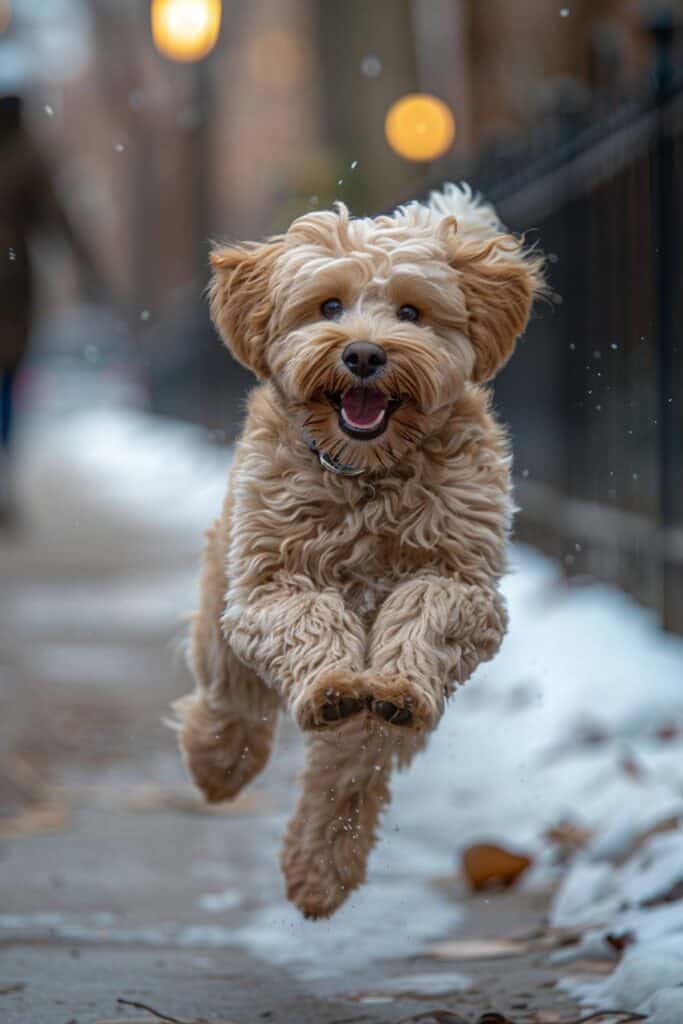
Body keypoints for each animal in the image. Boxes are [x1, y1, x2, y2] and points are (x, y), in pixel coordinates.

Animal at [175, 182, 544, 921]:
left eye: (410, 311)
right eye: (328, 306)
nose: (366, 355)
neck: (368, 477)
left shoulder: (463, 585)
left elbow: (421, 611)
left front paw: (392, 685)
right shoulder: (269, 585)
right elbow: (310, 621)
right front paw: (330, 683)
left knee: (349, 766)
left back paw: (320, 870)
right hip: (223, 597)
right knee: (230, 694)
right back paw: (219, 764)